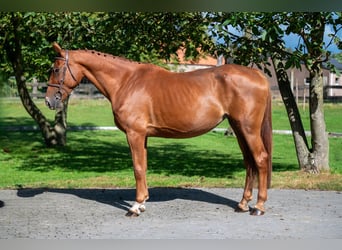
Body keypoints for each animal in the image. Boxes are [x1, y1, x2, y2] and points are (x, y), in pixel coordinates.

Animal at [45, 42, 272, 216]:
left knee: (260, 159)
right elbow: (143, 166)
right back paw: (243, 204)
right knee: (249, 162)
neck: (126, 81)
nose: (49, 101)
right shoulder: (143, 136)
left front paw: (135, 207)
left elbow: (137, 168)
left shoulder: (134, 134)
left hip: (248, 129)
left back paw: (259, 206)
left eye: (55, 69)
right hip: (238, 128)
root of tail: (257, 74)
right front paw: (143, 202)